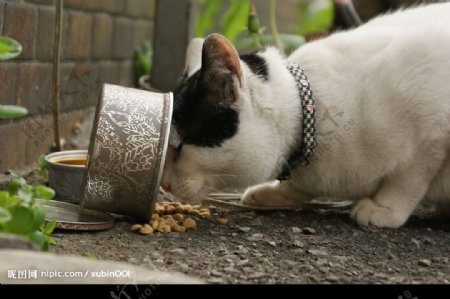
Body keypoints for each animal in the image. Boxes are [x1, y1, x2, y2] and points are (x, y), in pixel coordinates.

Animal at [161, 2, 450, 229]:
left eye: (180, 148)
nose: (164, 185)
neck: (313, 116)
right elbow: (300, 186)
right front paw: (273, 193)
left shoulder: (431, 136)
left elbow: (408, 180)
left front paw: (385, 208)